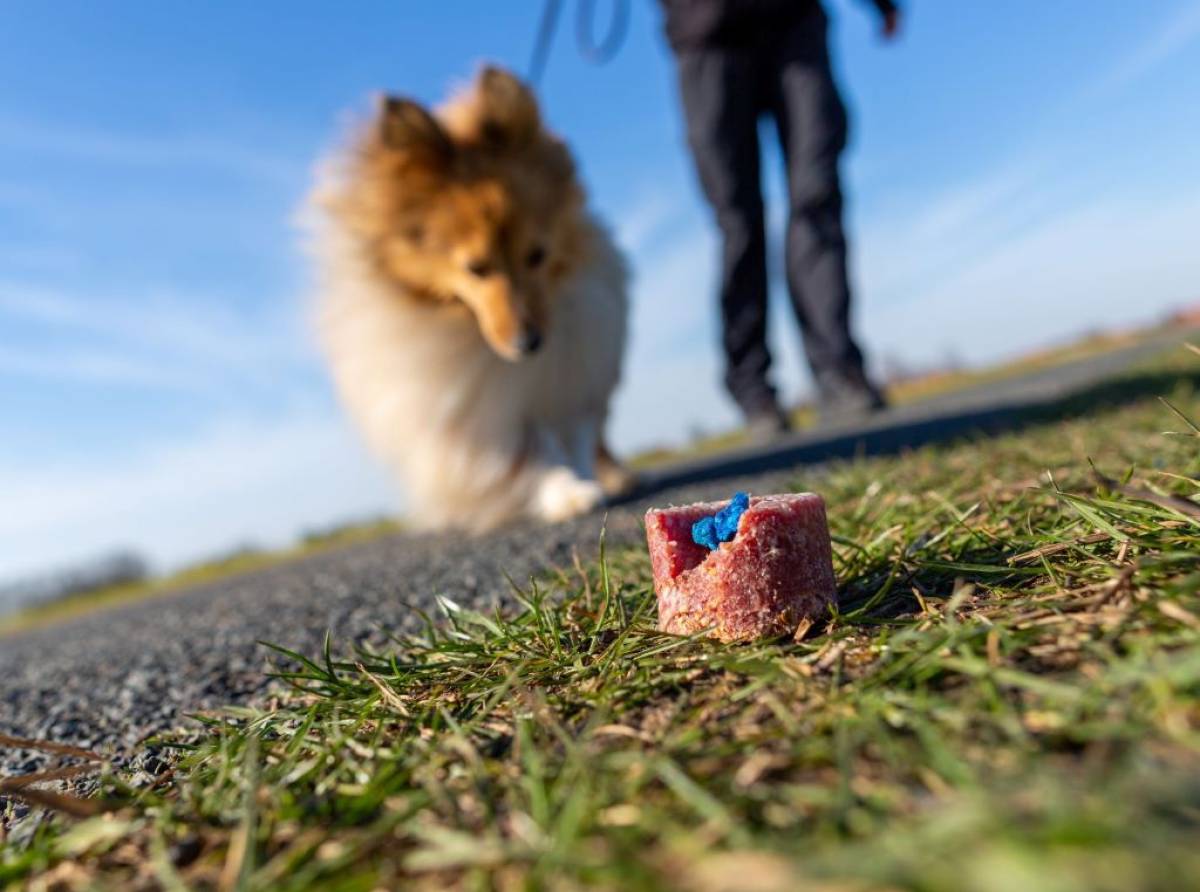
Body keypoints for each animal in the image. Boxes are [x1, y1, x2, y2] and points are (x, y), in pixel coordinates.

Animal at [309, 68, 633, 530]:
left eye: (537, 255)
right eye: (476, 268)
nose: (529, 344)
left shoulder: (574, 373)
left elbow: (576, 434)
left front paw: (587, 480)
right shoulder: (472, 413)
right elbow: (528, 453)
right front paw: (566, 494)